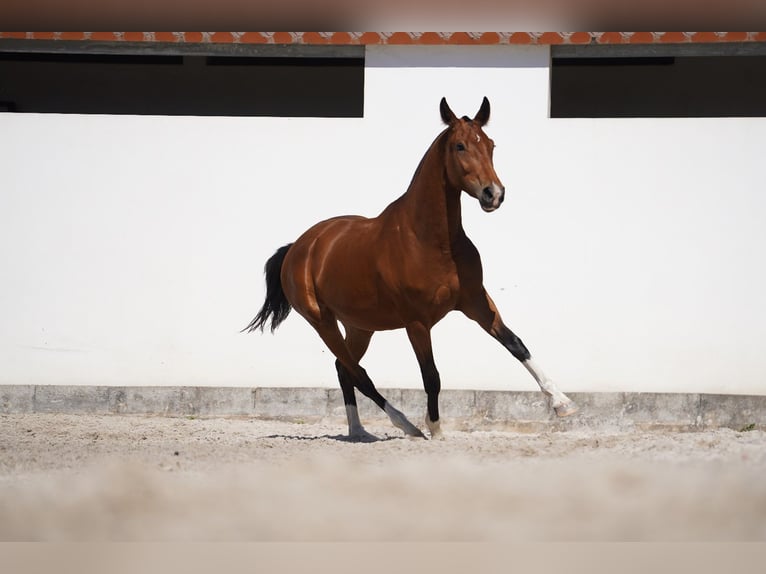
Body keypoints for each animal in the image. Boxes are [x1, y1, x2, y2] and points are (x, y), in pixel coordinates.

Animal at [249, 98, 580, 440]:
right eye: (460, 146)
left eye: (490, 145)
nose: (494, 194)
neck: (432, 241)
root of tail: (299, 247)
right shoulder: (417, 322)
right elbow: (431, 375)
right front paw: (435, 429)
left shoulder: (475, 302)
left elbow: (516, 344)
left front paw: (563, 403)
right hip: (322, 322)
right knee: (358, 373)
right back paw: (406, 425)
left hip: (360, 326)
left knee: (345, 369)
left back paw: (359, 431)